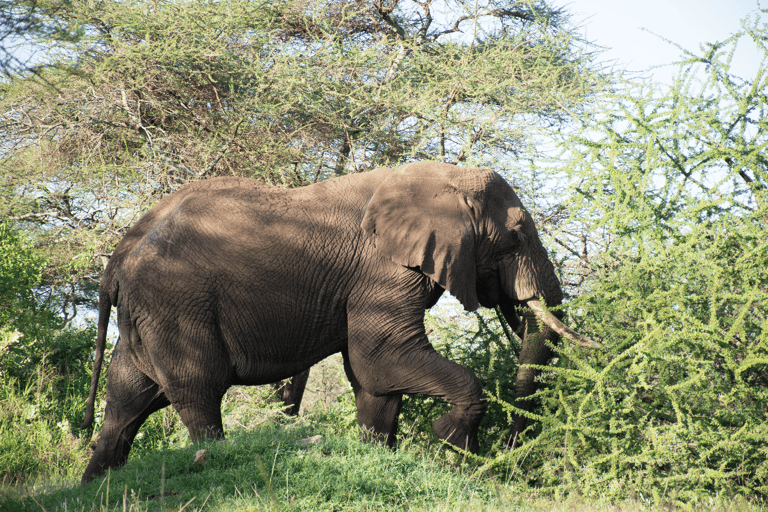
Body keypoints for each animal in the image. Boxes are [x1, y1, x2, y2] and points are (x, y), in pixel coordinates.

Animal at [79, 160, 592, 484]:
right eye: (517, 235)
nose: (508, 450)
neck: (443, 177)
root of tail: (117, 259)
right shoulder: (382, 268)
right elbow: (379, 358)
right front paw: (451, 442)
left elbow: (374, 380)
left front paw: (380, 455)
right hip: (175, 303)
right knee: (198, 392)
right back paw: (213, 459)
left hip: (147, 315)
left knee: (125, 405)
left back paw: (94, 487)